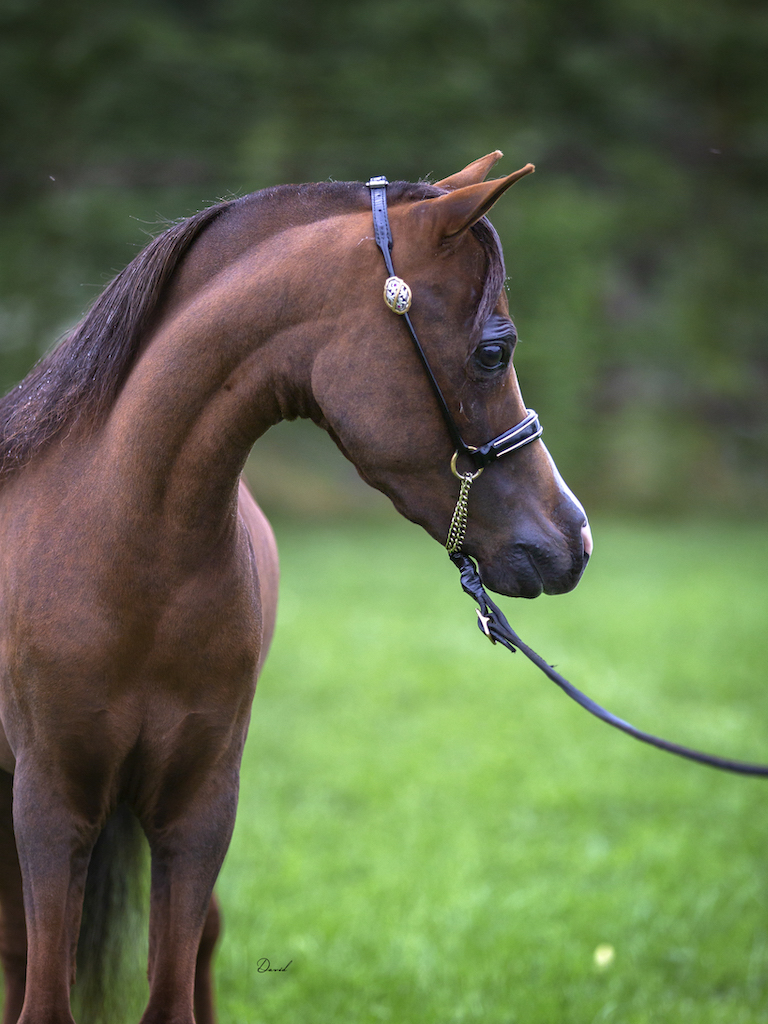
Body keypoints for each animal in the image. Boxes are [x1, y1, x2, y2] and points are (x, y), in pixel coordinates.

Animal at [0, 150, 591, 1024]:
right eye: (494, 350)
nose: (573, 539)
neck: (123, 548)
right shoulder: (49, 809)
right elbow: (43, 995)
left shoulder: (199, 809)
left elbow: (171, 995)